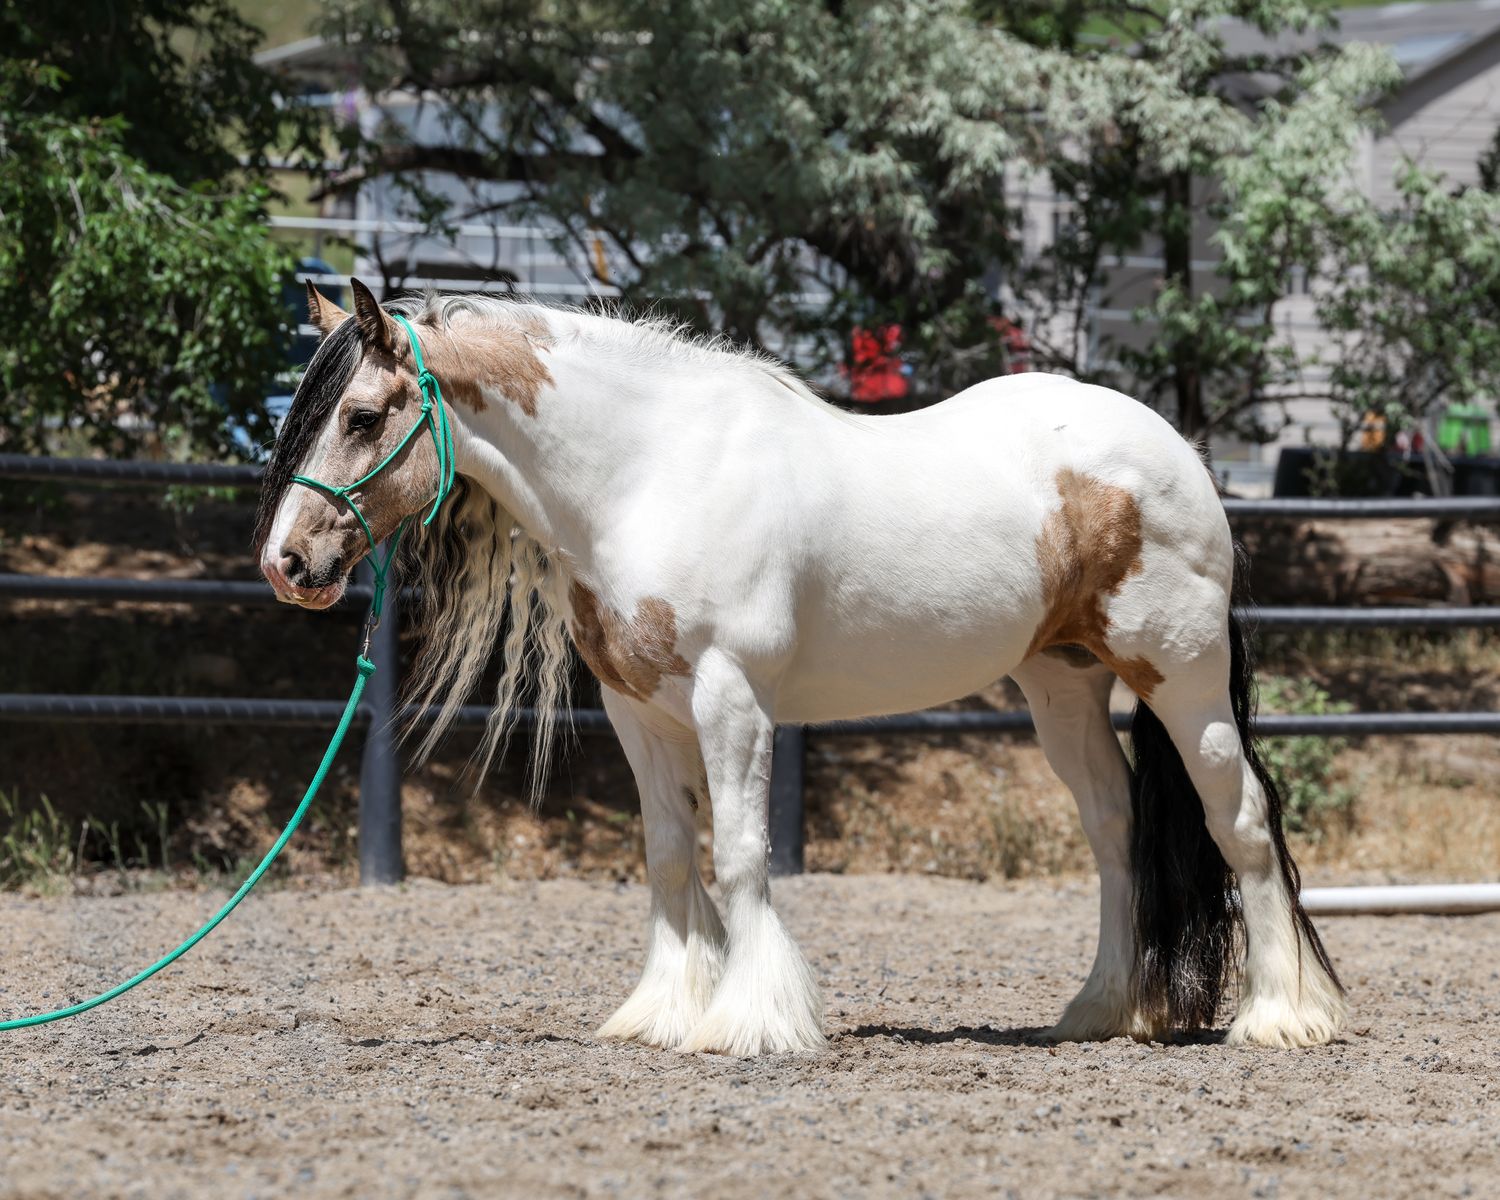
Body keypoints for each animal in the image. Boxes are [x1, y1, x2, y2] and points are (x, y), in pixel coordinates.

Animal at [255, 279, 1347, 1056]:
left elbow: (740, 855)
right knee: (1116, 832)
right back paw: (1102, 1010)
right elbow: (667, 855)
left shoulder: (731, 701)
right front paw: (661, 1014)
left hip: (1181, 677)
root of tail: (1182, 454)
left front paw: (751, 1021)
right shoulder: (638, 713)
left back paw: (1281, 1017)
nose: (287, 565)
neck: (647, 474)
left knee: (1242, 820)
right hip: (1063, 684)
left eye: (361, 415)